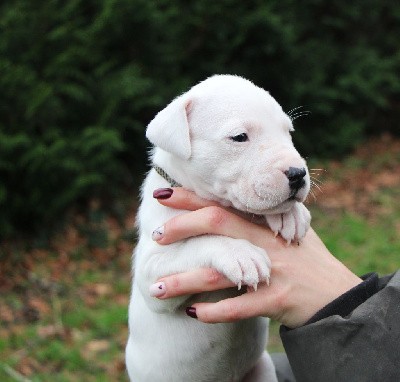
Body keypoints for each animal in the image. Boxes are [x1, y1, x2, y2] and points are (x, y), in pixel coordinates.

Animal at [126, 75, 310, 382]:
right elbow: (201, 240)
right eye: (239, 137)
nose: (298, 174)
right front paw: (240, 254)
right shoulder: (153, 275)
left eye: (288, 132)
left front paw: (291, 215)